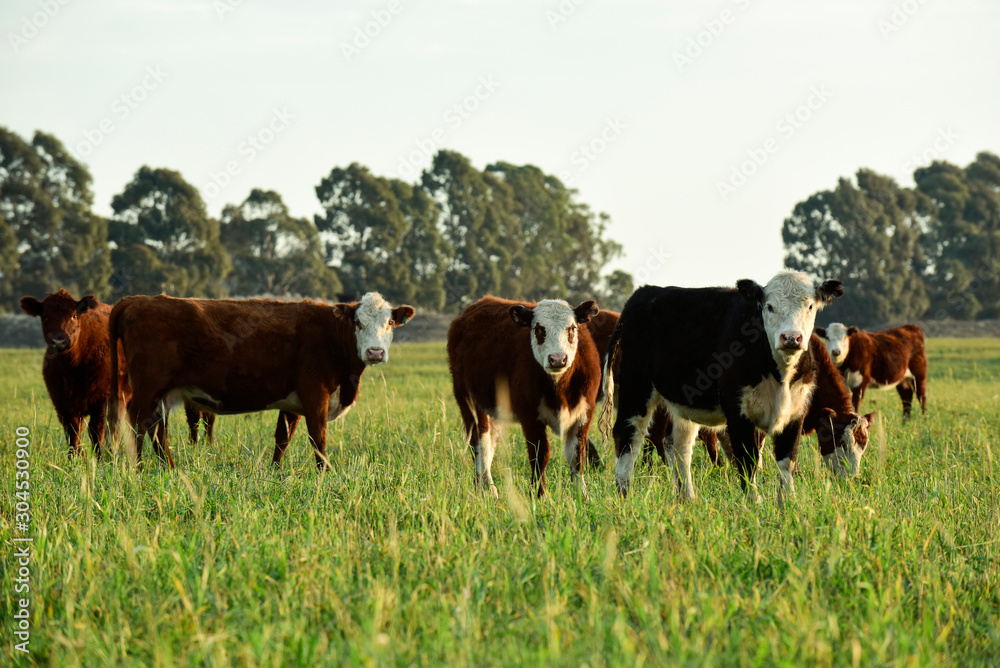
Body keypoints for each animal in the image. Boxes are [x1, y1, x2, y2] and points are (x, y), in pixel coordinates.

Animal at [20, 290, 121, 456]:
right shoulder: (62, 404)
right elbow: (73, 433)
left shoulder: (102, 400)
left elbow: (96, 431)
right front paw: (75, 458)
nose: (59, 341)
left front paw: (100, 459)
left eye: (74, 315)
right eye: (44, 316)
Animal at [111, 292, 416, 470]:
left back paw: (170, 469)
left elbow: (283, 437)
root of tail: (136, 299)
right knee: (138, 424)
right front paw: (324, 473)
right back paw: (138, 468)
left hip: (162, 393)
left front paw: (275, 472)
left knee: (157, 431)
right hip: (148, 388)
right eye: (358, 323)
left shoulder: (294, 402)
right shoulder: (315, 394)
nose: (375, 352)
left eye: (390, 323)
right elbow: (318, 438)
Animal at [448, 296, 600, 496]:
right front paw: (539, 495)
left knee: (490, 444)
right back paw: (488, 490)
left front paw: (582, 495)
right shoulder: (530, 417)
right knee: (480, 444)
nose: (557, 359)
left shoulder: (583, 415)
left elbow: (577, 457)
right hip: (469, 403)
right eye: (538, 329)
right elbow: (540, 455)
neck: (559, 388)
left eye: (572, 328)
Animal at [600, 272, 844, 500]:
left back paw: (687, 499)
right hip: (637, 388)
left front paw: (787, 503)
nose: (791, 337)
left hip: (682, 400)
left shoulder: (796, 411)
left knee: (678, 446)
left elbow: (787, 461)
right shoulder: (737, 411)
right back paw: (624, 496)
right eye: (769, 307)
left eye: (810, 306)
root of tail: (645, 292)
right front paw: (754, 503)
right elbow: (748, 461)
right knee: (628, 436)